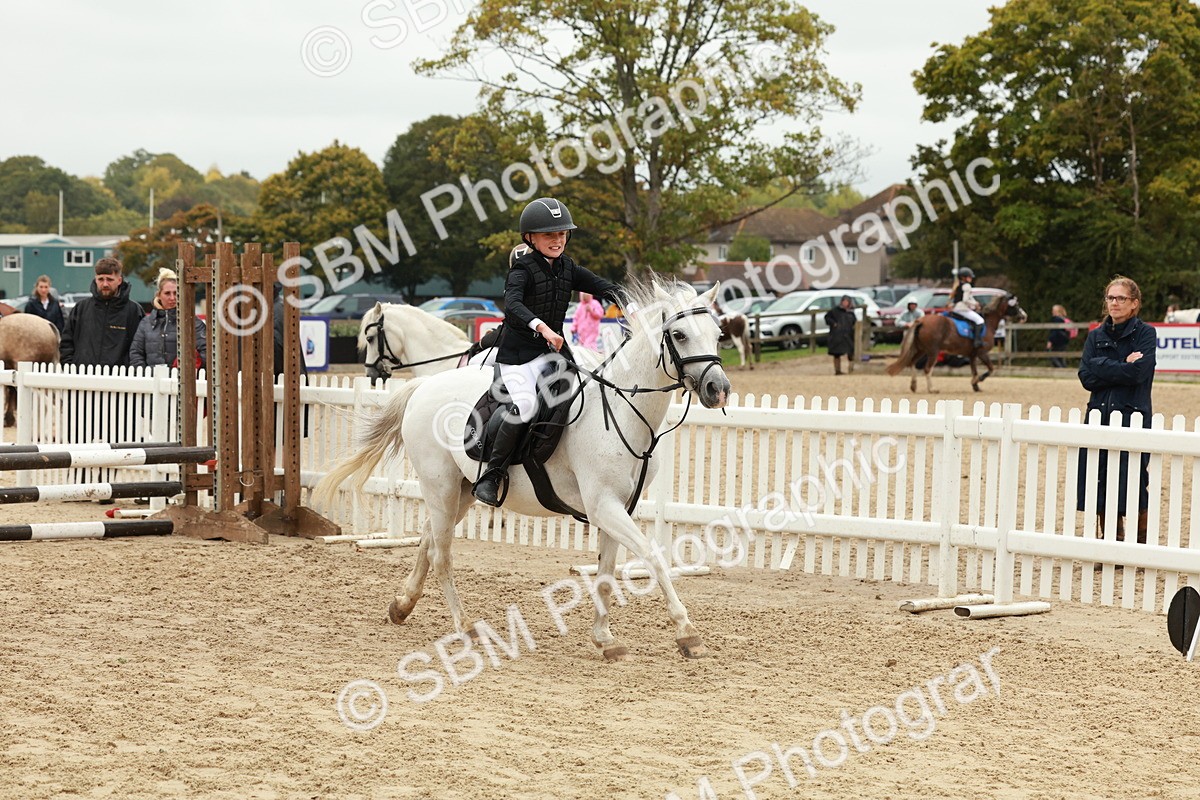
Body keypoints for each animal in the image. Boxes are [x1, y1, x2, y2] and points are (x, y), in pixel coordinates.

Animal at [315, 280, 732, 661]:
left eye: (717, 334)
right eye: (678, 335)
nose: (718, 389)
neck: (621, 411)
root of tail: (424, 387)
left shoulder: (617, 509)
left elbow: (607, 573)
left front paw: (604, 638)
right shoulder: (605, 507)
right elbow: (654, 558)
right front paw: (687, 632)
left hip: (460, 492)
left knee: (428, 539)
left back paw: (403, 605)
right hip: (441, 487)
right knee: (441, 554)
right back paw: (464, 627)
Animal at [886, 294, 1026, 393]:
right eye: (1015, 305)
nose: (1024, 316)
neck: (988, 323)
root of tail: (921, 321)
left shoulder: (972, 355)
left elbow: (974, 370)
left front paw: (975, 386)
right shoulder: (982, 353)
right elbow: (991, 368)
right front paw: (978, 380)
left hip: (921, 350)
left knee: (912, 363)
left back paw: (913, 386)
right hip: (933, 351)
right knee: (927, 369)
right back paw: (932, 389)